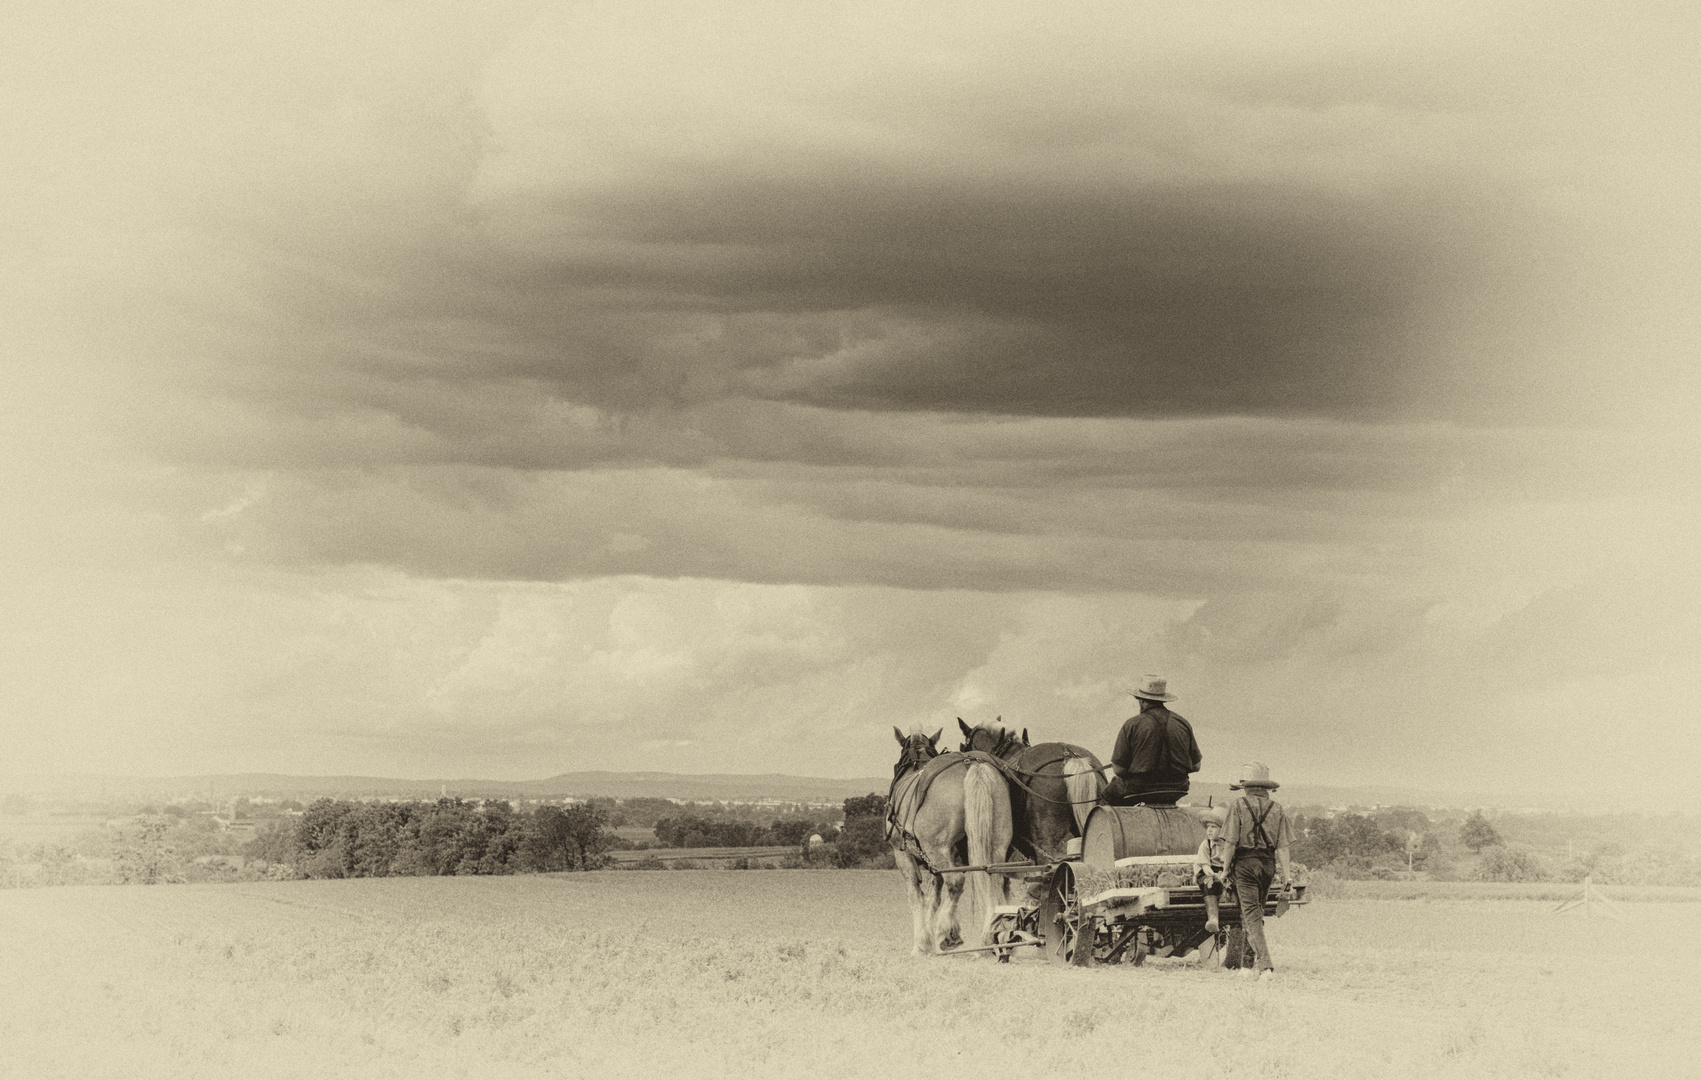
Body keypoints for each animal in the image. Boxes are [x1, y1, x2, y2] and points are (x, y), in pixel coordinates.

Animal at [884, 727, 1013, 952]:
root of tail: (972, 765)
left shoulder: (904, 854)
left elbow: (917, 897)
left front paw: (921, 944)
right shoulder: (937, 863)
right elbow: (933, 898)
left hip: (936, 848)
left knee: (956, 882)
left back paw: (946, 933)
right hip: (996, 844)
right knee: (996, 879)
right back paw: (989, 935)